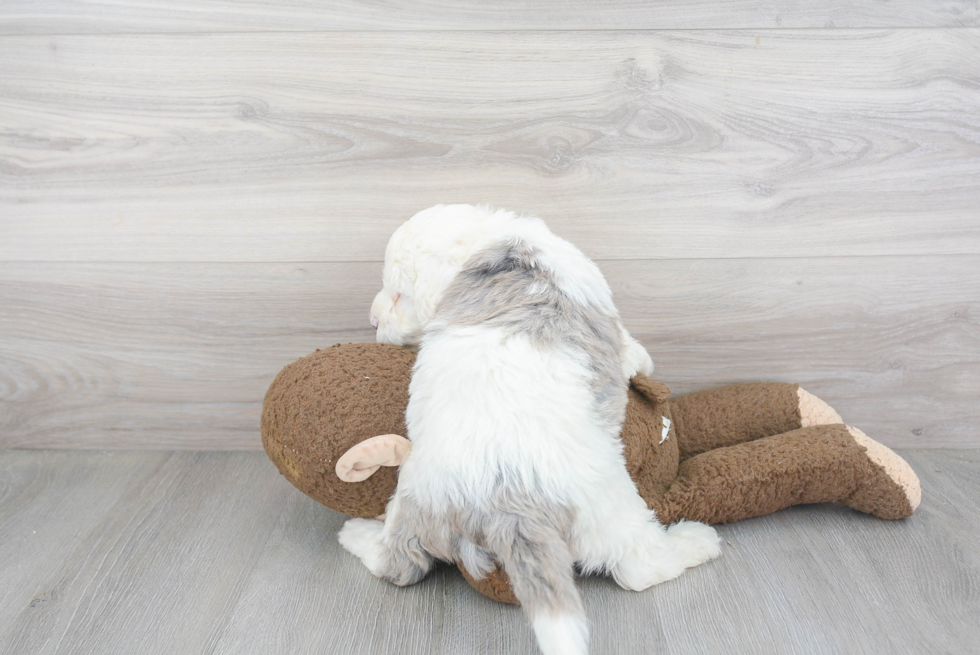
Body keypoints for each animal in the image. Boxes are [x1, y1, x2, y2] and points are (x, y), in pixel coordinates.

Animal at [338, 205, 720, 655]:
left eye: (399, 295)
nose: (372, 320)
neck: (490, 239)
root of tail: (506, 505)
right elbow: (627, 344)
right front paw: (639, 361)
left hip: (414, 500)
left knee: (398, 563)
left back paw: (358, 534)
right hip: (611, 510)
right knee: (641, 570)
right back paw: (697, 542)